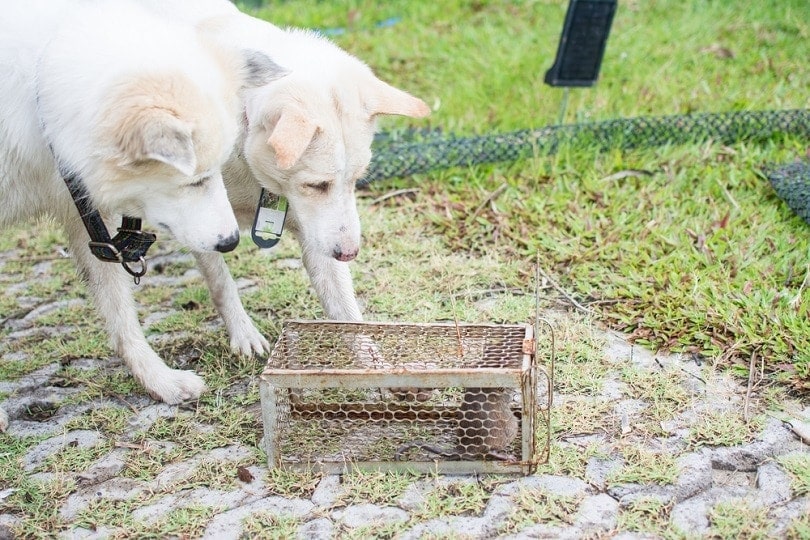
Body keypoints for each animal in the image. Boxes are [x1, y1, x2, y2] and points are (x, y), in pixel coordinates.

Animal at [0, 0, 284, 430]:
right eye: (195, 181)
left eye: (217, 171)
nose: (231, 242)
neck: (37, 96)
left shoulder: (87, 217)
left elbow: (121, 316)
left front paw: (160, 381)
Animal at [140, 0, 430, 346]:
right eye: (316, 185)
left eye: (356, 180)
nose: (349, 254)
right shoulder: (199, 221)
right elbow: (221, 283)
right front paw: (243, 334)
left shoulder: (316, 233)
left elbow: (345, 311)